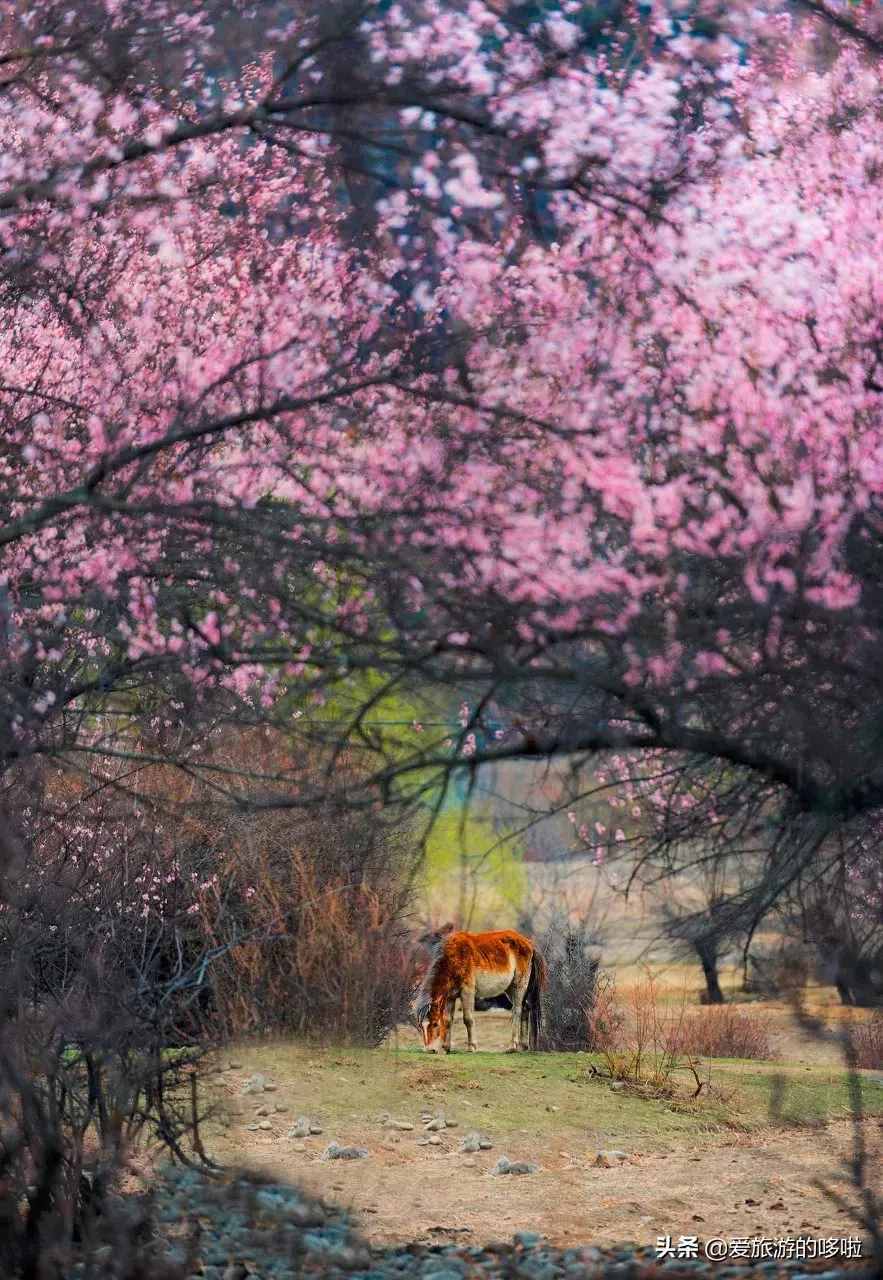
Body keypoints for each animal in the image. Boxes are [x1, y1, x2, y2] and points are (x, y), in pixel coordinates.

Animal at [414, 926, 542, 1054]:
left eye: (435, 1024)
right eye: (421, 1026)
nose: (430, 1049)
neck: (453, 958)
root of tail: (528, 942)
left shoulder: (467, 992)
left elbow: (468, 1019)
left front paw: (472, 1046)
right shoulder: (451, 997)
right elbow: (448, 1020)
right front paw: (446, 1047)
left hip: (519, 985)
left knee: (517, 1011)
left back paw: (512, 1046)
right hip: (509, 989)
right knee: (525, 1009)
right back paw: (524, 1046)